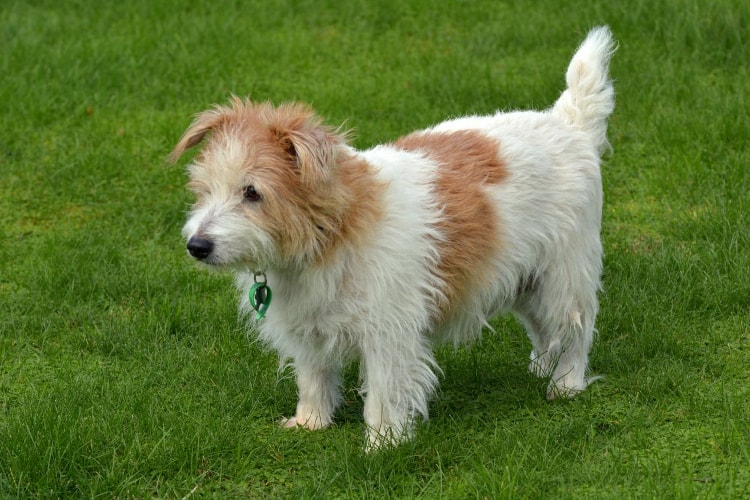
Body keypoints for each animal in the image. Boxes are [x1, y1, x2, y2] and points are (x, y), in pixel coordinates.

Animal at [173, 26, 620, 450]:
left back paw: (565, 384)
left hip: (564, 278)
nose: (197, 246)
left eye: (252, 192)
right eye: (204, 190)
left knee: (577, 331)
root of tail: (568, 124)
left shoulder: (388, 331)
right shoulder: (308, 325)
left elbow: (384, 391)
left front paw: (383, 443)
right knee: (545, 331)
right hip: (525, 280)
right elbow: (313, 375)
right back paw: (539, 369)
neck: (334, 231)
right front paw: (310, 422)